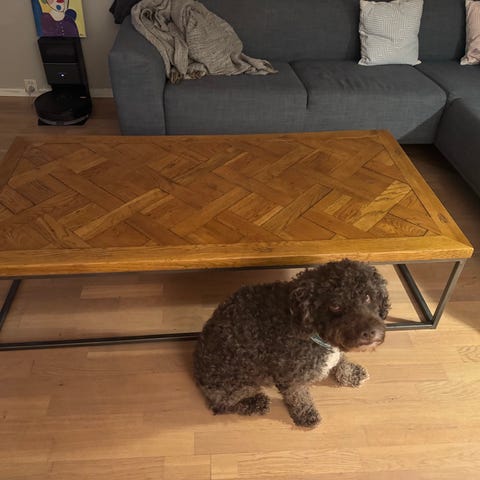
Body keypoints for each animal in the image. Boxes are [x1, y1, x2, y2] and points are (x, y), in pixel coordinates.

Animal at [193, 259, 390, 427]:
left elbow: (340, 359)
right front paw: (305, 415)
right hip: (236, 386)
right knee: (220, 405)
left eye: (367, 296)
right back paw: (254, 403)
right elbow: (298, 396)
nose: (369, 333)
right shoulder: (290, 375)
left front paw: (350, 372)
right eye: (335, 305)